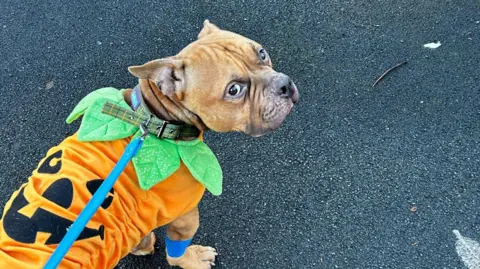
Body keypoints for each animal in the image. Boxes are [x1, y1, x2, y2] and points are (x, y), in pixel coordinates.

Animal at [0, 21, 298, 268]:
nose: (284, 85)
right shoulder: (185, 216)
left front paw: (141, 244)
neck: (156, 117)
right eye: (234, 90)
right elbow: (176, 253)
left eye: (262, 53)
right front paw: (192, 259)